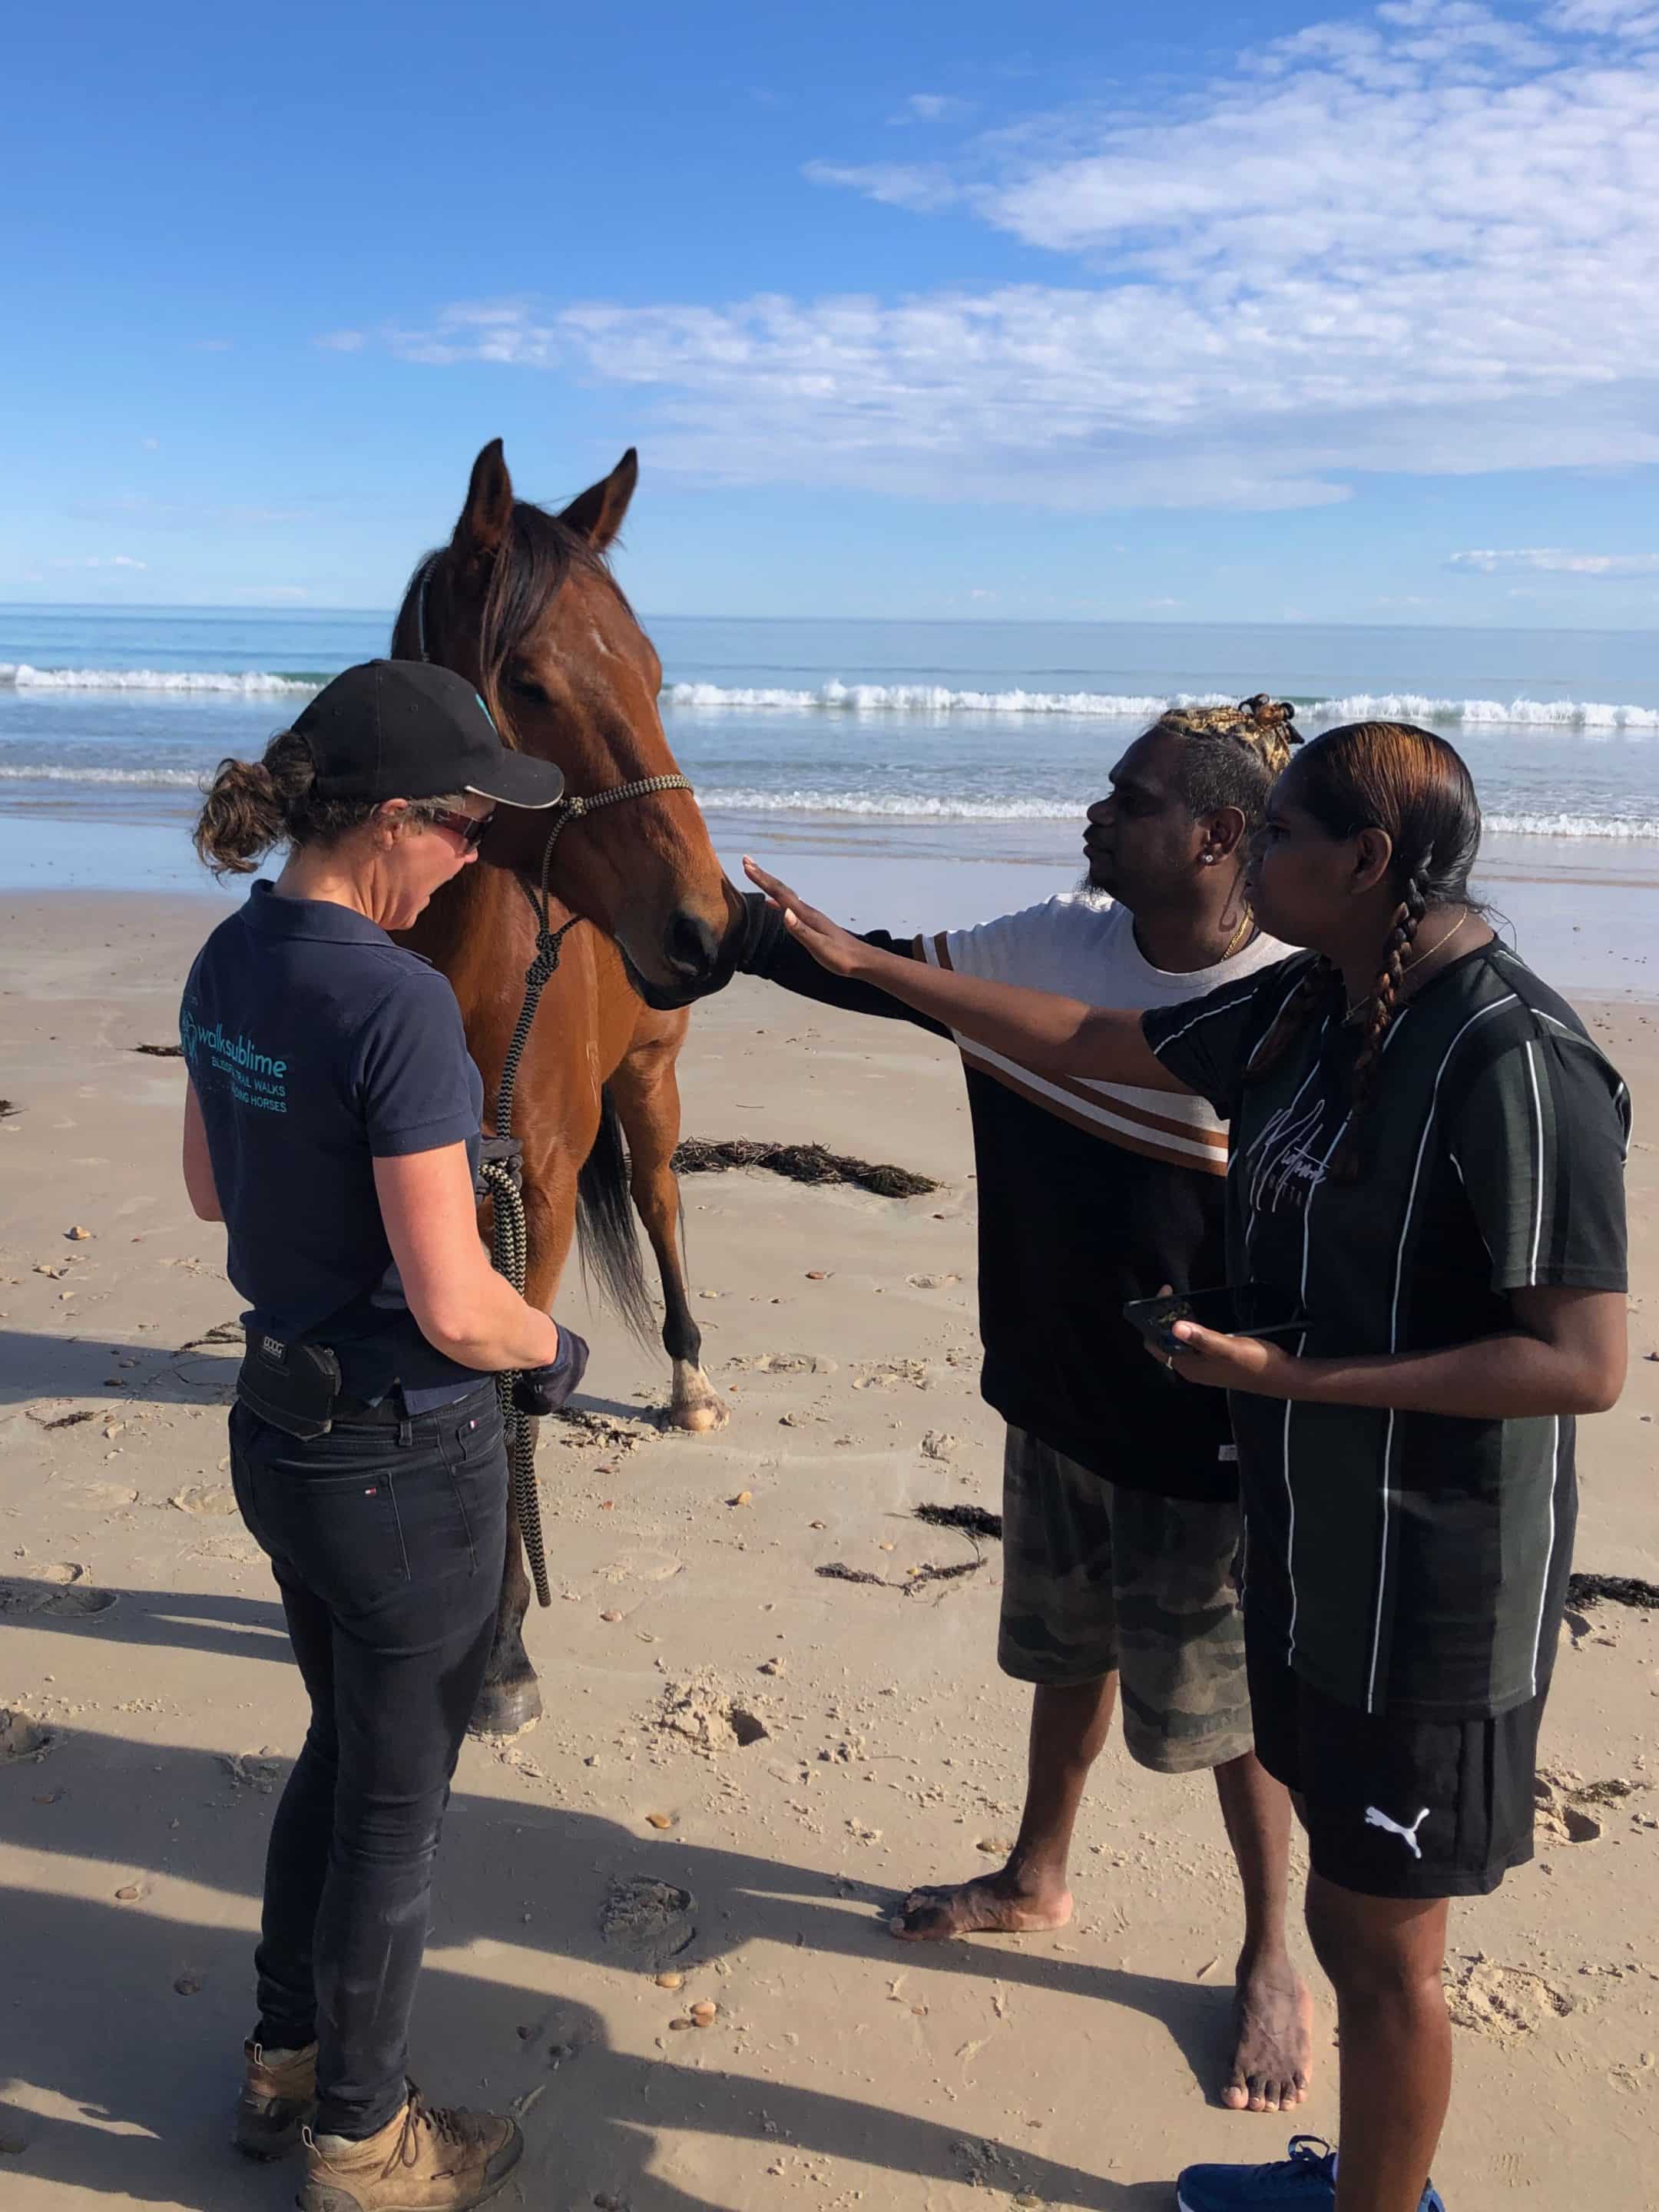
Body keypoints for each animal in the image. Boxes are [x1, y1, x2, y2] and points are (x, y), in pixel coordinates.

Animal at [393, 440, 743, 1734]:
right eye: (531, 683)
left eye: (652, 671)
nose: (708, 929)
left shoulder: (533, 1197)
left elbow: (513, 1403)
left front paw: (499, 1653)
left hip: (650, 1088)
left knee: (661, 1204)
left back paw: (689, 1380)